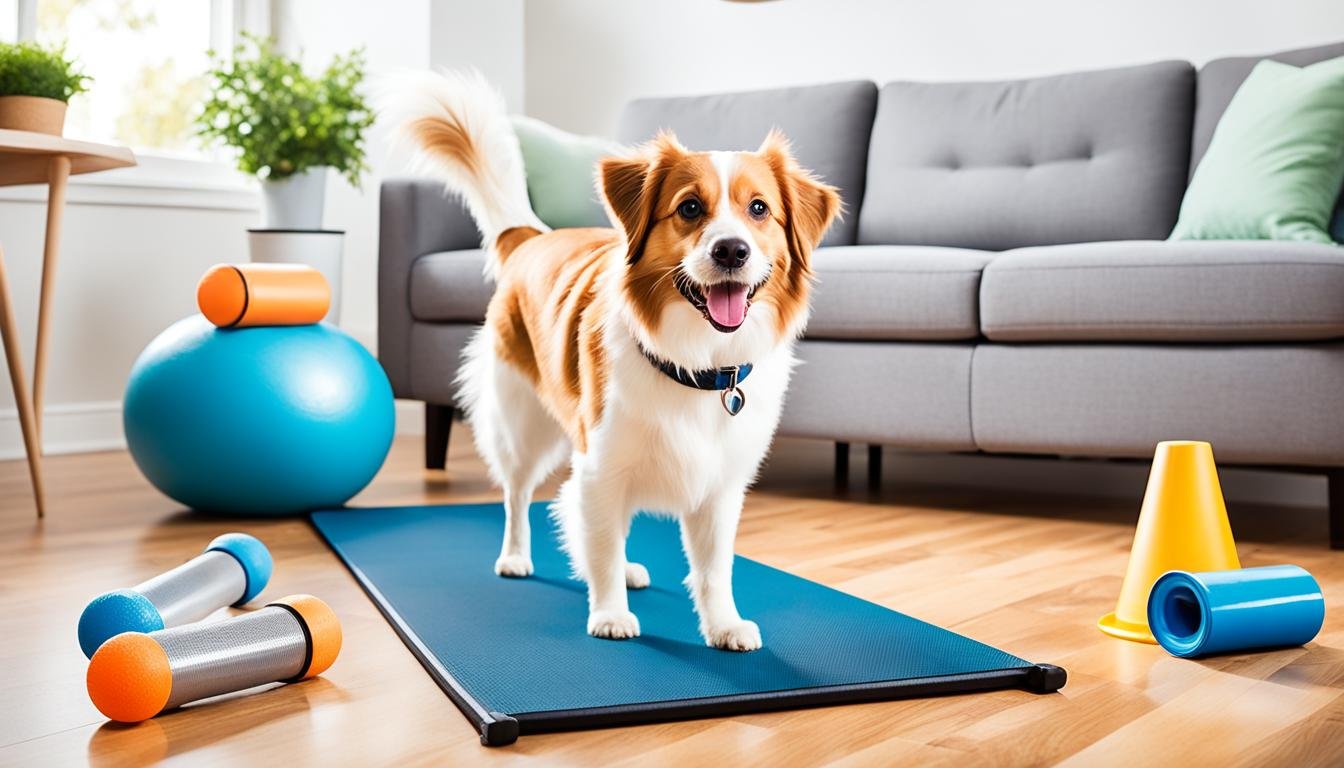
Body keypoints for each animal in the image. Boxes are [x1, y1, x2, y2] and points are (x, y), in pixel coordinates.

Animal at [389, 70, 833, 648]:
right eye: (690, 208)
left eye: (759, 209)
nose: (732, 251)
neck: (698, 362)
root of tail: (531, 239)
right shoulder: (599, 464)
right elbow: (597, 542)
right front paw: (609, 614)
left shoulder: (720, 485)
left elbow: (713, 568)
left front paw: (723, 624)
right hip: (521, 423)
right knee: (516, 494)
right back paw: (515, 557)